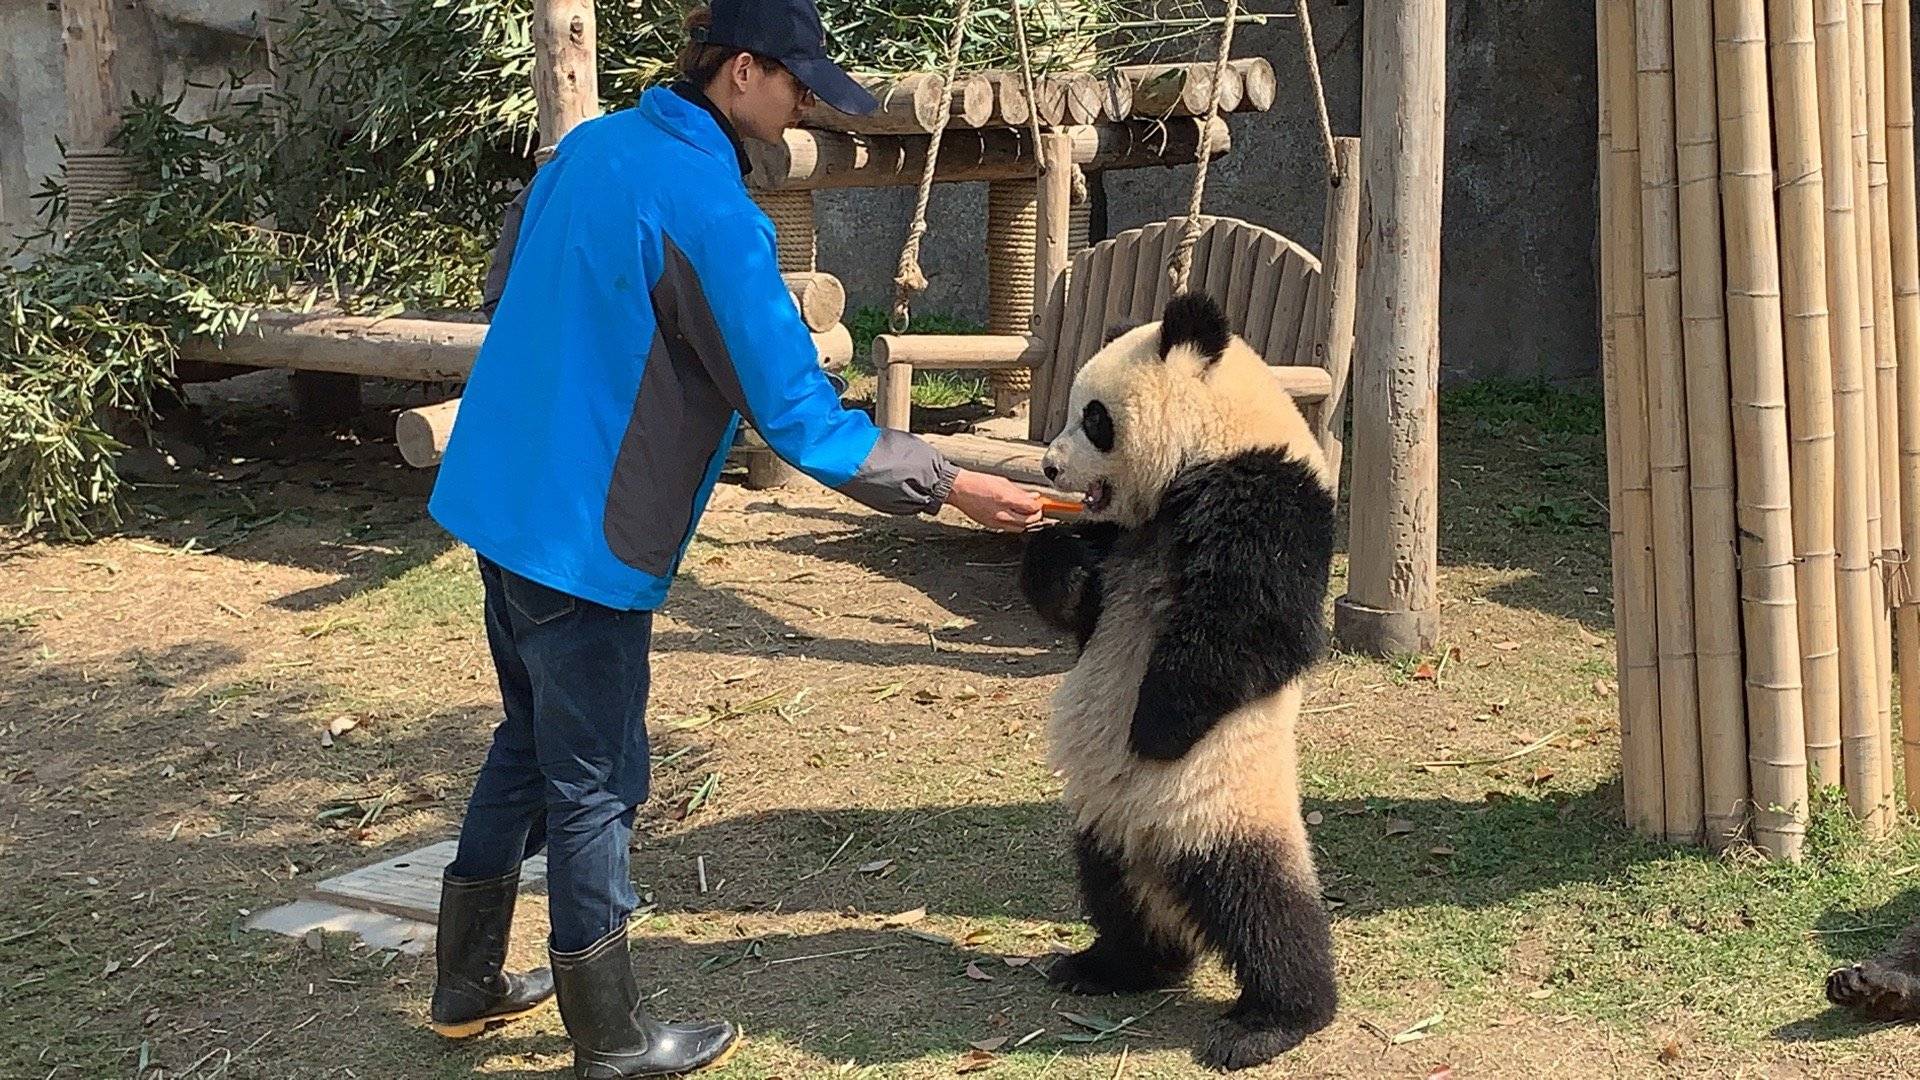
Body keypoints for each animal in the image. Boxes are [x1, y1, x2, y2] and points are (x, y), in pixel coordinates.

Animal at [1021, 288, 1336, 1068]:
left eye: (1094, 418)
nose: (1048, 467)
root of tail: (1158, 853)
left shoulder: (1269, 492)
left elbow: (1251, 628)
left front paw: (1156, 727)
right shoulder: (1119, 538)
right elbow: (1080, 608)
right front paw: (1059, 554)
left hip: (1222, 803)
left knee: (1263, 907)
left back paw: (1273, 1021)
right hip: (1102, 820)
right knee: (1111, 888)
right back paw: (1113, 965)